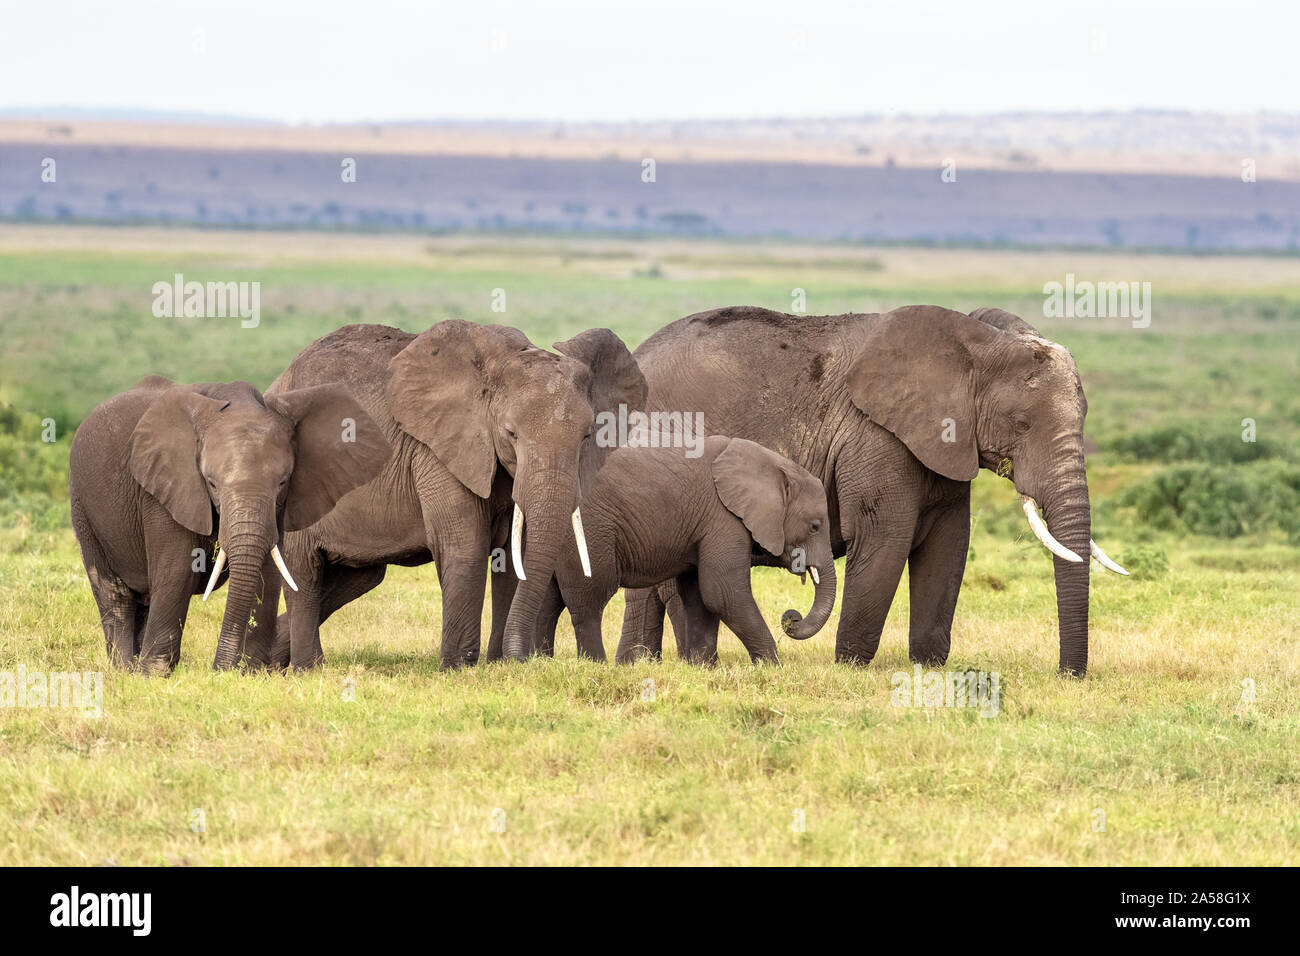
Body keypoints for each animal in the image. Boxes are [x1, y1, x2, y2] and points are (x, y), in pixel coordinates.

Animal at [68, 376, 388, 674]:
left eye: (283, 482)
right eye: (211, 483)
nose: (219, 669)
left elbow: (267, 570)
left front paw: (250, 673)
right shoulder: (162, 489)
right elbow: (177, 569)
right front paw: (154, 675)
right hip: (82, 503)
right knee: (113, 592)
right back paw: (125, 670)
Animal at [264, 320, 647, 669]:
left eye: (586, 436)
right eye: (511, 433)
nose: (525, 659)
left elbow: (513, 552)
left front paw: (499, 665)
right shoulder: (437, 451)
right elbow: (465, 545)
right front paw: (460, 667)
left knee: (355, 579)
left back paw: (271, 661)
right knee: (305, 574)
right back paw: (307, 668)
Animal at [535, 435, 836, 663]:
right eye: (815, 527)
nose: (791, 617)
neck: (773, 464)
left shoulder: (702, 527)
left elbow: (700, 597)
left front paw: (702, 667)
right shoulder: (722, 519)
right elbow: (723, 593)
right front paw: (771, 666)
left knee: (550, 598)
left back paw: (538, 662)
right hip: (589, 530)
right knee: (589, 598)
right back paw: (595, 664)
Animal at [615, 305, 1128, 676]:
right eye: (1021, 424)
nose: (1067, 676)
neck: (974, 342)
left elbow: (948, 546)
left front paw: (928, 668)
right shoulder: (876, 439)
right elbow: (885, 541)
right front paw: (850, 670)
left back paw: (636, 664)